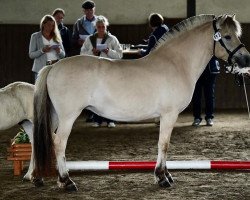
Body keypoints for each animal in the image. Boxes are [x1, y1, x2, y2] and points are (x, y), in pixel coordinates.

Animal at [32, 15, 250, 191]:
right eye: (227, 36)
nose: (246, 59)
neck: (176, 63)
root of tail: (54, 67)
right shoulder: (169, 115)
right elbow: (164, 144)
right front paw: (162, 177)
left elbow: (164, 144)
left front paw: (166, 174)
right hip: (68, 116)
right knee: (59, 142)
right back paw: (66, 181)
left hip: (54, 116)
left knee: (41, 139)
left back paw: (38, 178)